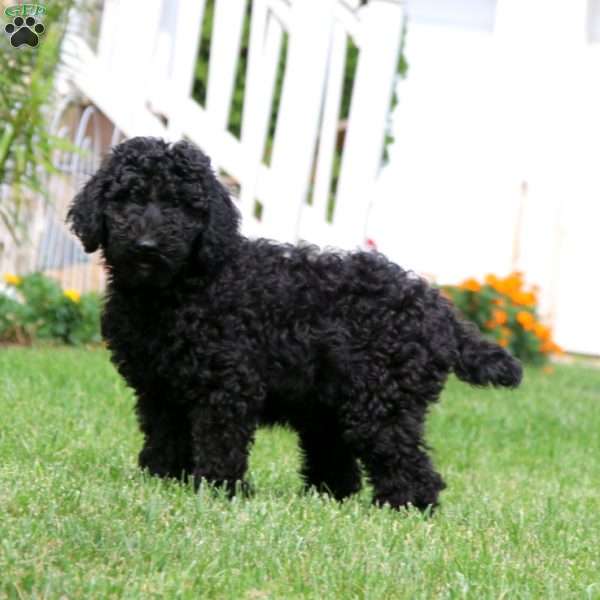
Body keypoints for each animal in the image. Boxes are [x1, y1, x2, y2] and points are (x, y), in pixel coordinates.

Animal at [67, 137, 520, 510]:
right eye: (127, 199)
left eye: (180, 206)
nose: (147, 246)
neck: (179, 289)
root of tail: (439, 310)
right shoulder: (159, 389)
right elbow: (165, 437)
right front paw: (163, 481)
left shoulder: (226, 386)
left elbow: (219, 442)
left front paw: (217, 489)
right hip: (329, 406)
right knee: (339, 460)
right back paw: (329, 499)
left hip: (381, 403)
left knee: (409, 463)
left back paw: (403, 508)